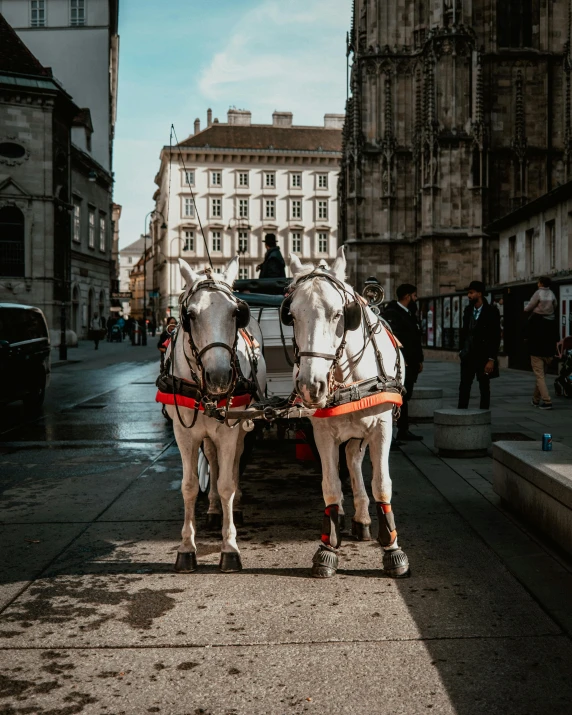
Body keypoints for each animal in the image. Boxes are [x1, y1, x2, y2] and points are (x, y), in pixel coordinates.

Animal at [162, 258, 268, 576]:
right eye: (189, 315)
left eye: (236, 312)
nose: (220, 377)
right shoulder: (184, 433)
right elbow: (189, 486)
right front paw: (186, 548)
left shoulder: (230, 429)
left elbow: (226, 484)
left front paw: (230, 548)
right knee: (210, 456)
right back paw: (211, 509)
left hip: (240, 424)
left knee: (233, 464)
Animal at [282, 249, 408, 580]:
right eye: (292, 315)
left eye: (338, 314)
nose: (311, 385)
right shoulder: (322, 432)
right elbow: (330, 486)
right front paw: (328, 547)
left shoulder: (381, 427)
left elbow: (382, 483)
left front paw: (392, 548)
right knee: (345, 466)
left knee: (353, 461)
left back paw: (363, 519)